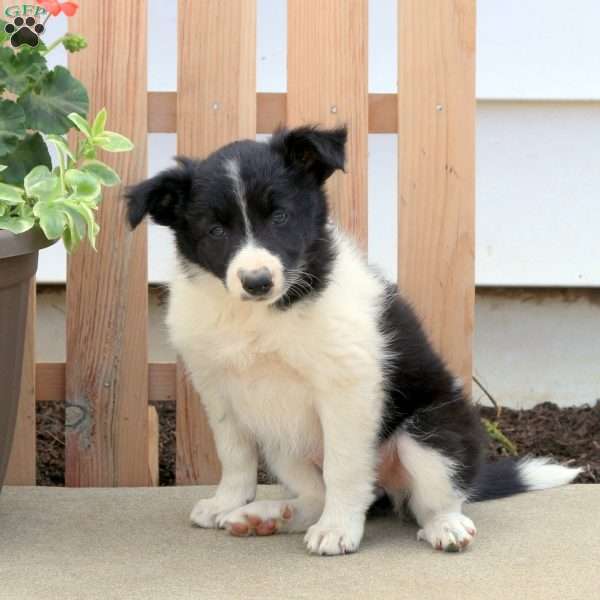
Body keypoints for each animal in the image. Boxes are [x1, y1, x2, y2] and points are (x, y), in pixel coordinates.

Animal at [126, 127, 580, 556]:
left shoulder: (346, 386)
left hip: (430, 431)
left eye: (281, 216)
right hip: (282, 443)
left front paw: (338, 529)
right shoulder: (218, 389)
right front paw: (228, 502)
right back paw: (268, 515)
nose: (257, 281)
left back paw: (444, 526)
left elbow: (343, 467)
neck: (258, 314)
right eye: (216, 230)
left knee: (432, 497)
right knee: (315, 494)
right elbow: (235, 454)